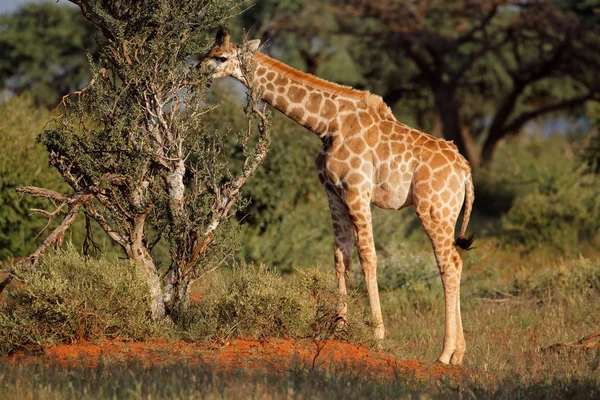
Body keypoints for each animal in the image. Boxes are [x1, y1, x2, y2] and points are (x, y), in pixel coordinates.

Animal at [204, 28, 476, 366]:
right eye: (207, 51)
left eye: (221, 57)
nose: (197, 69)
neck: (327, 123)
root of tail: (465, 171)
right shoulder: (333, 192)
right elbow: (341, 255)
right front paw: (339, 327)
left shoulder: (357, 189)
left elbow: (368, 256)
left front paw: (377, 334)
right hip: (444, 212)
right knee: (456, 261)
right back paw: (459, 353)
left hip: (433, 208)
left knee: (447, 263)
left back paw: (445, 352)